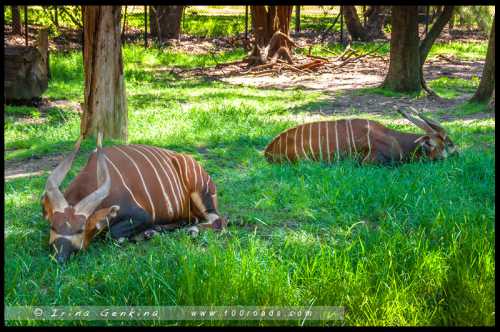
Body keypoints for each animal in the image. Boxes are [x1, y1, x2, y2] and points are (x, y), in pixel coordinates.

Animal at [42, 137, 228, 262]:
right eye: (53, 226)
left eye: (80, 229)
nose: (60, 258)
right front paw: (148, 233)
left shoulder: (142, 215)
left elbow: (113, 235)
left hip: (202, 195)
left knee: (219, 221)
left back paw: (191, 230)